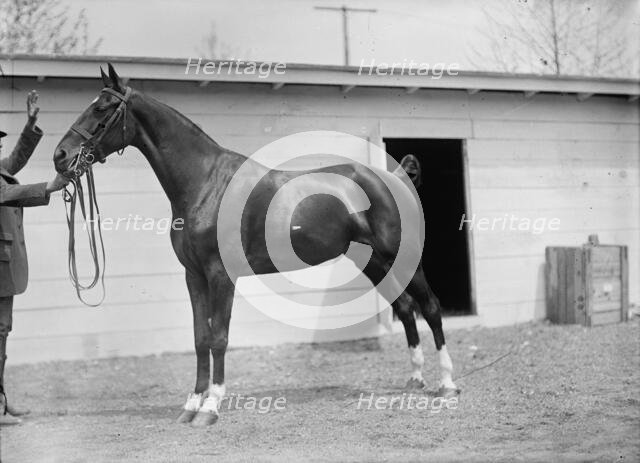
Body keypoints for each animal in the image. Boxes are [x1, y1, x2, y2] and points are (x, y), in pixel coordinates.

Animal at [53, 64, 458, 427]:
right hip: (373, 261)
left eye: (103, 108)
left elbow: (219, 338)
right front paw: (191, 404)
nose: (60, 156)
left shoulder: (220, 275)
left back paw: (448, 385)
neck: (205, 183)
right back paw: (415, 380)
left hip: (403, 257)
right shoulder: (194, 276)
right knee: (406, 309)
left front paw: (211, 407)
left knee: (430, 308)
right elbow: (200, 337)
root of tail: (396, 178)